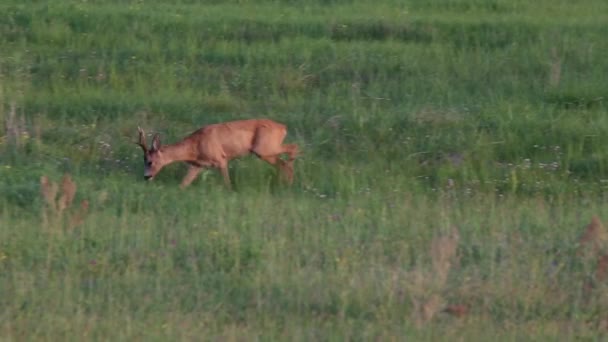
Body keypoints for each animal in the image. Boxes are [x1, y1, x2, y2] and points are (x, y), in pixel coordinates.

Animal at [137, 119, 300, 190]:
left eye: (150, 161)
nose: (146, 177)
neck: (194, 146)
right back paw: (286, 182)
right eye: (144, 160)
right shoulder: (197, 165)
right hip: (266, 152)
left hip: (264, 148)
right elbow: (182, 185)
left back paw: (290, 181)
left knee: (293, 147)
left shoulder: (221, 159)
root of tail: (283, 127)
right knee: (283, 162)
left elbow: (227, 183)